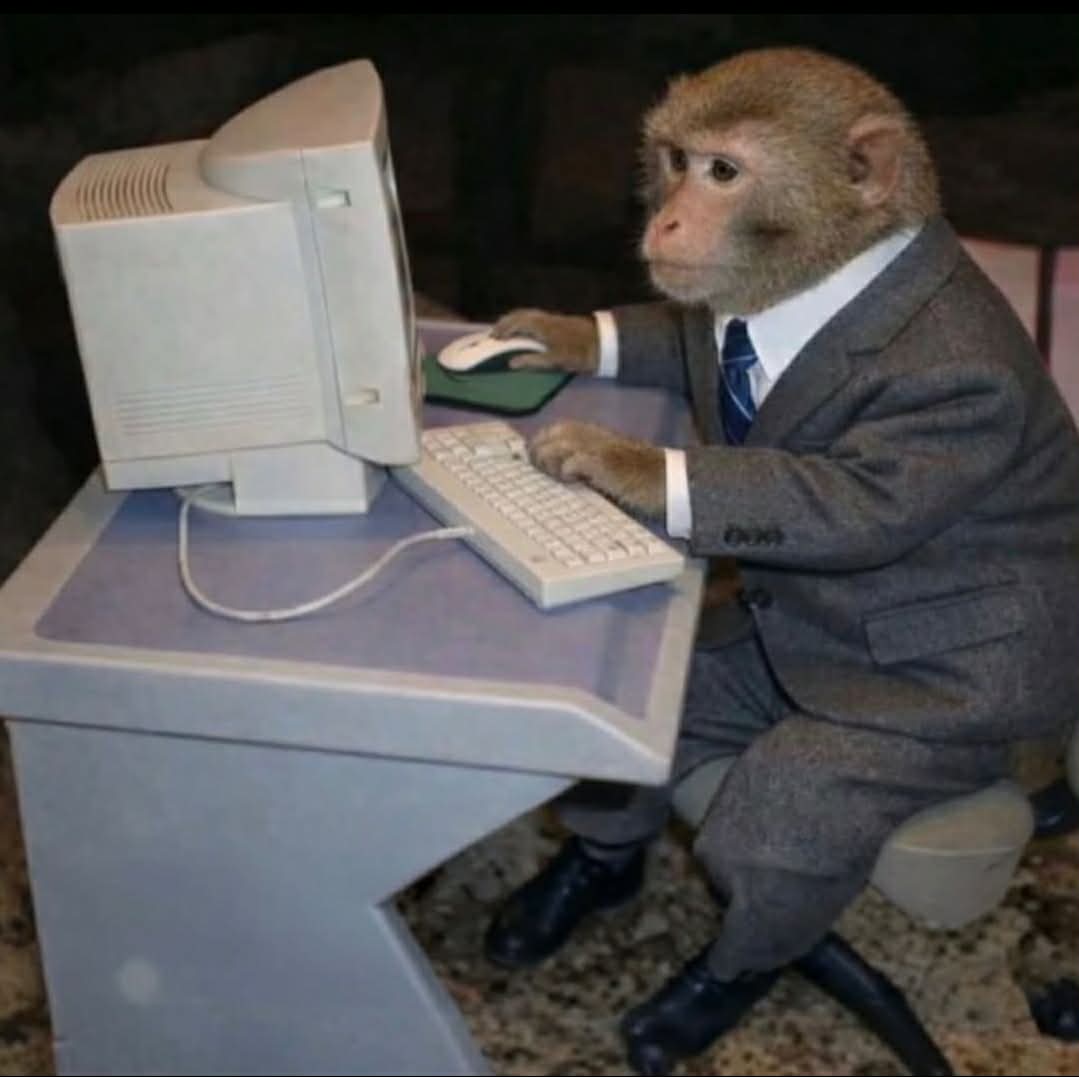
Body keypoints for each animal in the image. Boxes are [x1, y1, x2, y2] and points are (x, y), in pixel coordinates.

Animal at [482, 46, 1079, 1077]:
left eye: (724, 172)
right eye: (676, 160)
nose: (665, 219)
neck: (823, 286)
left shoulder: (948, 393)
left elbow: (845, 507)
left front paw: (615, 458)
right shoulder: (706, 321)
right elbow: (668, 333)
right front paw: (561, 333)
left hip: (947, 746)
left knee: (775, 839)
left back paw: (711, 989)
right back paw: (589, 872)